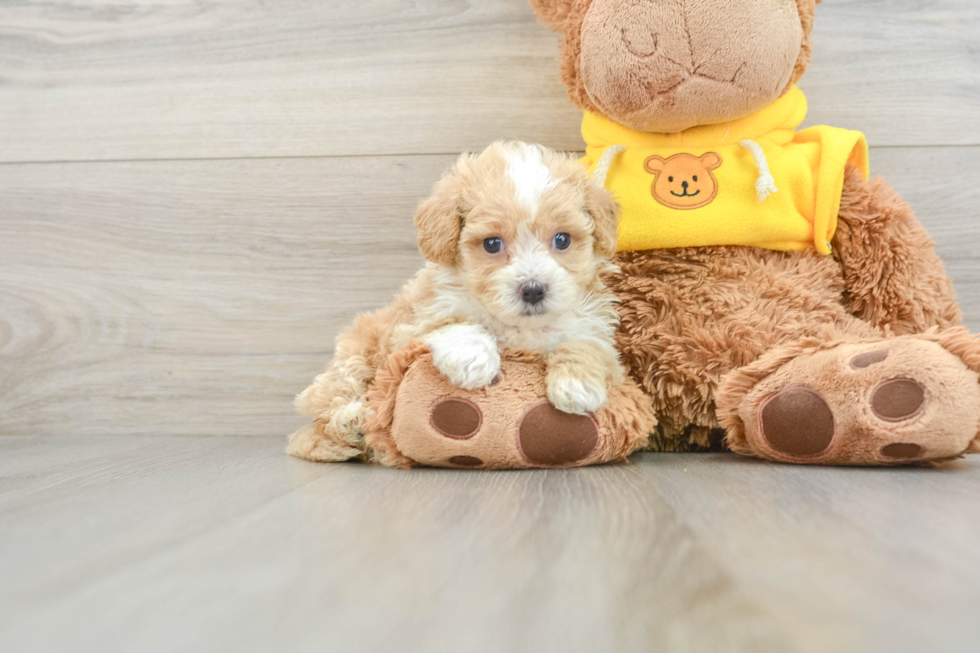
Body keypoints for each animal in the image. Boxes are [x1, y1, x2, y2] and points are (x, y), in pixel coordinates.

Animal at [288, 140, 624, 460]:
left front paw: (577, 385)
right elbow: (453, 324)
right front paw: (473, 358)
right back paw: (352, 421)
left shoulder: (593, 327)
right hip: (354, 357)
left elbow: (586, 344)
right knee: (331, 403)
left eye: (562, 239)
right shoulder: (416, 324)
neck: (519, 327)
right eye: (492, 244)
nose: (533, 289)